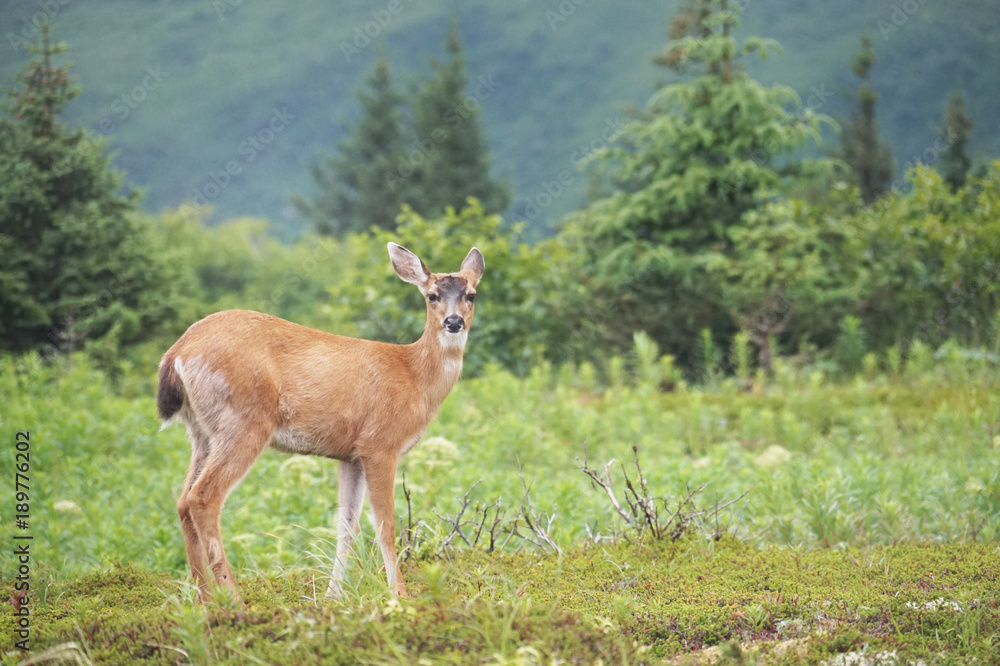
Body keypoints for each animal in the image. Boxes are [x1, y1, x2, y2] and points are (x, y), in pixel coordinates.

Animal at [157, 243, 484, 601]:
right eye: (432, 295)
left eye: (471, 294)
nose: (453, 322)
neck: (414, 376)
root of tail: (176, 354)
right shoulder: (380, 443)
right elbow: (385, 524)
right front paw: (399, 595)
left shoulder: (351, 455)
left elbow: (347, 526)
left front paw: (332, 596)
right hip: (243, 421)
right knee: (203, 498)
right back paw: (233, 598)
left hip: (202, 431)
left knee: (183, 501)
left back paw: (203, 598)